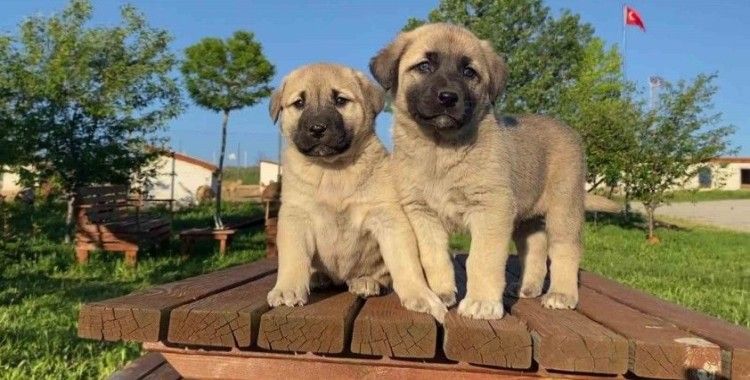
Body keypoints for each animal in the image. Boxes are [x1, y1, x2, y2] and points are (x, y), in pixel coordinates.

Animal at [268, 63, 450, 322]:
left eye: (340, 100)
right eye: (299, 103)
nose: (317, 128)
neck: (332, 170)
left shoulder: (388, 218)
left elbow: (406, 263)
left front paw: (420, 295)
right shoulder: (296, 216)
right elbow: (293, 258)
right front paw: (286, 290)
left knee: (382, 274)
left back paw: (366, 281)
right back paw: (318, 277)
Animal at [374, 23, 612, 320]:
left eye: (469, 72)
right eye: (425, 66)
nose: (448, 98)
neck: (440, 150)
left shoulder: (491, 208)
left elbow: (482, 260)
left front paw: (482, 302)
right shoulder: (422, 212)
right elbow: (434, 256)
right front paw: (441, 292)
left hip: (564, 209)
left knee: (565, 250)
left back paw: (561, 294)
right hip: (527, 218)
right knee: (535, 248)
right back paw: (527, 288)